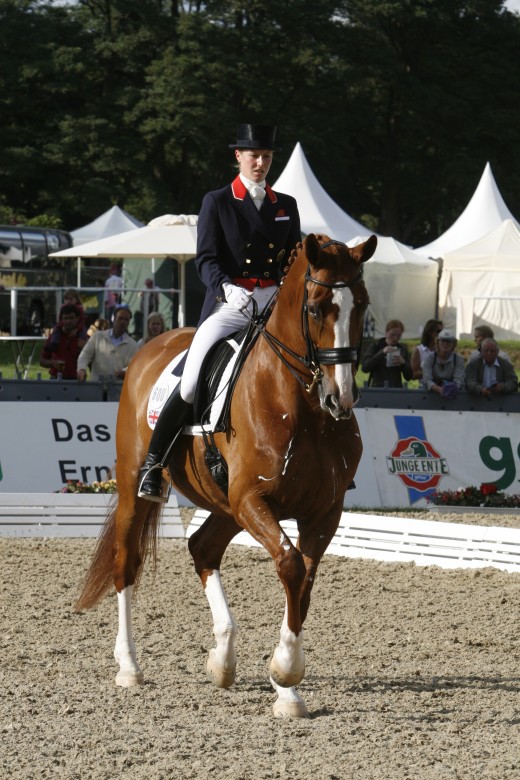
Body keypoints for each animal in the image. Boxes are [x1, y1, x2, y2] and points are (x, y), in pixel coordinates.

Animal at [77, 233, 376, 720]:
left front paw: (287, 689)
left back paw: (222, 661)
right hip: (137, 488)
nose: (341, 399)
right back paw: (129, 667)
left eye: (362, 306)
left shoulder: (323, 512)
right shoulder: (253, 499)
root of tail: (153, 345)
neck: (303, 407)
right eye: (315, 309)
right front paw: (287, 672)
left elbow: (305, 583)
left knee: (203, 547)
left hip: (225, 506)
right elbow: (291, 565)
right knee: (127, 563)